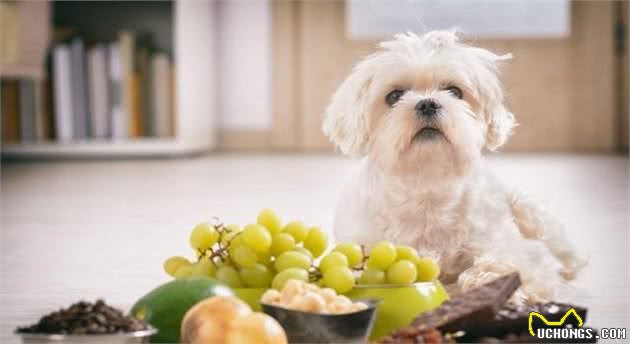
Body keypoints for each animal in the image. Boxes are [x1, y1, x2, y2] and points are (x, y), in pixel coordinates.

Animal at [326, 30, 588, 304]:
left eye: (454, 91)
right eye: (394, 96)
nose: (427, 103)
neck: (427, 184)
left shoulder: (513, 247)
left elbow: (510, 263)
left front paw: (491, 281)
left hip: (529, 211)